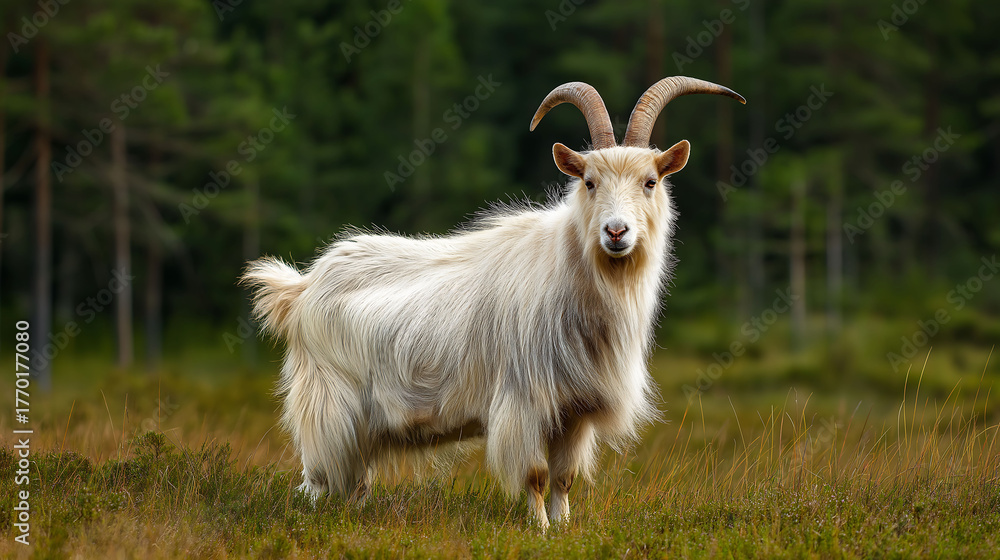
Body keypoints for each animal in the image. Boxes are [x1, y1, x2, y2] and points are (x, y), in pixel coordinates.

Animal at [242, 76, 745, 529]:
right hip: (328, 408)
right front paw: (539, 530)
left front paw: (565, 528)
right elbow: (537, 475)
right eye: (588, 181)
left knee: (354, 480)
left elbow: (564, 477)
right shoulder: (524, 401)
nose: (616, 232)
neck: (572, 276)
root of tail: (301, 289)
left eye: (650, 181)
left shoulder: (575, 410)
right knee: (317, 478)